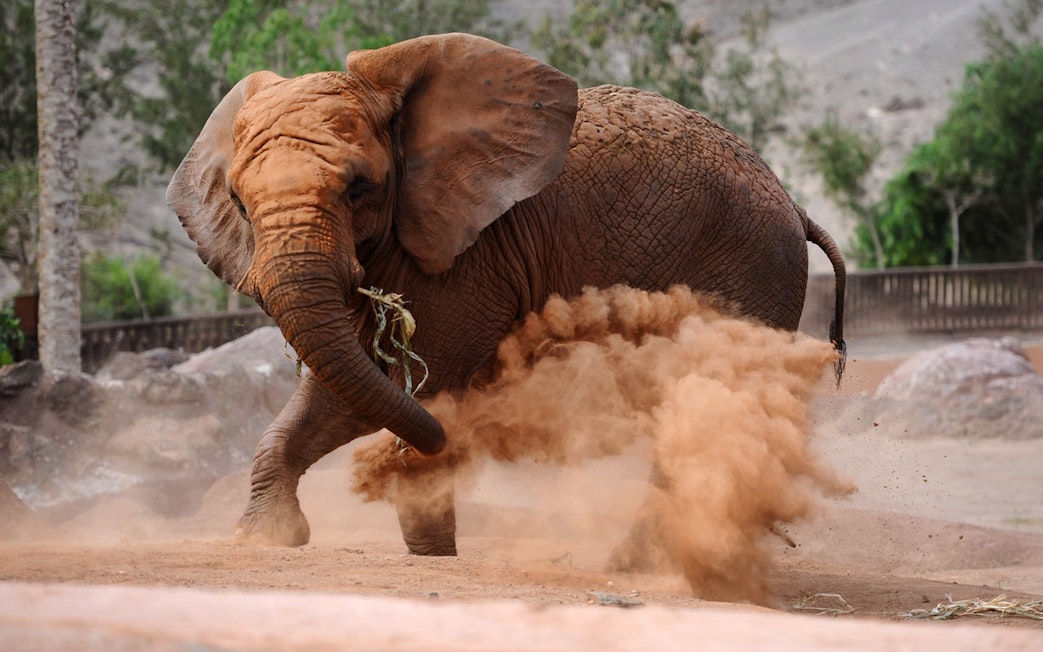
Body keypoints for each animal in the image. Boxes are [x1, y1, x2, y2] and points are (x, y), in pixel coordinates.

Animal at [167, 33, 846, 555]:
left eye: (360, 189)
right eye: (238, 203)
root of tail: (793, 204)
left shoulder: (470, 256)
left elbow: (409, 385)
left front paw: (429, 537)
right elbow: (346, 385)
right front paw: (267, 538)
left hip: (754, 268)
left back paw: (643, 563)